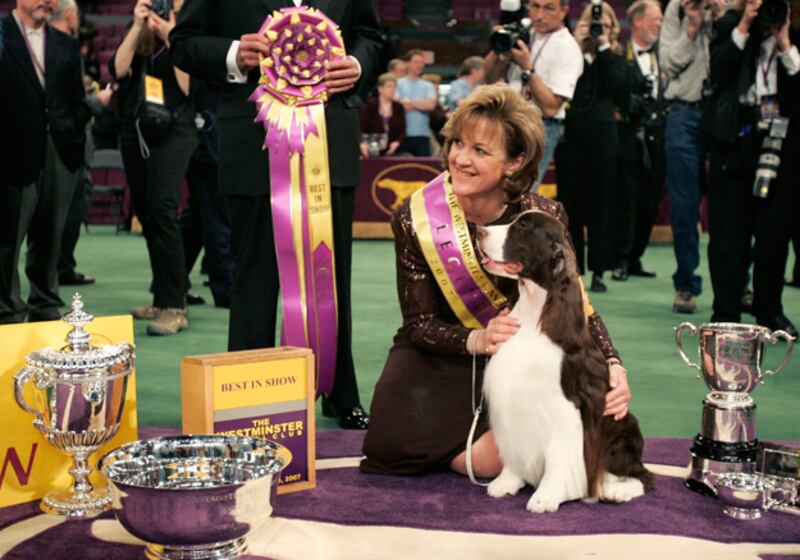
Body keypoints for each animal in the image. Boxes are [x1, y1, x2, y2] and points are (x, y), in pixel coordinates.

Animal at [478, 209, 652, 512]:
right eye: (514, 218)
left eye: (524, 227)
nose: (478, 231)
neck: (535, 317)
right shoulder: (512, 401)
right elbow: (514, 449)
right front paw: (506, 482)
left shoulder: (565, 409)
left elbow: (558, 458)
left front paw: (545, 497)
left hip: (621, 435)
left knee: (643, 475)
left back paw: (615, 491)